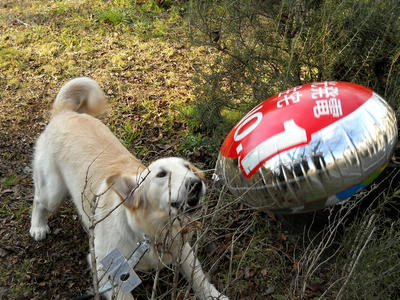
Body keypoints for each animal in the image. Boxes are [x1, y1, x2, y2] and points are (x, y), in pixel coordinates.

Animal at [29, 78, 227, 300]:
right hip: (52, 191)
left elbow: (199, 277)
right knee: (38, 200)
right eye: (161, 174)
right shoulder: (105, 269)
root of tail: (64, 112)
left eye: (188, 168)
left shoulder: (182, 248)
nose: (196, 183)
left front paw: (215, 295)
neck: (151, 233)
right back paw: (37, 227)